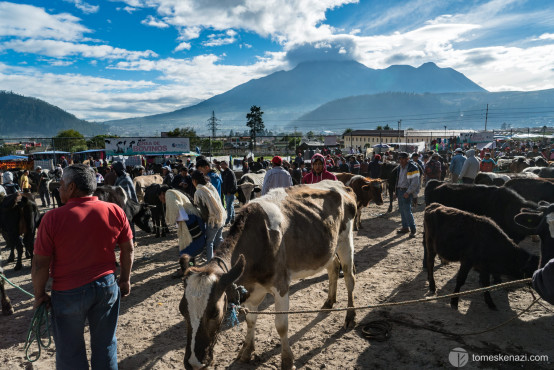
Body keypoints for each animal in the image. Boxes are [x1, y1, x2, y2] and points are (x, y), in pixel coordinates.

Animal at [179, 181, 356, 370]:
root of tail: (339, 184)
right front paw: (247, 352)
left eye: (215, 312)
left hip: (346, 240)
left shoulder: (281, 286)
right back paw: (329, 301)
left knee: (349, 278)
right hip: (327, 248)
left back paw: (350, 316)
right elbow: (250, 320)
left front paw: (287, 361)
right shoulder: (251, 288)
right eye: (182, 310)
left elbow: (281, 326)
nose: (193, 363)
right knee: (333, 268)